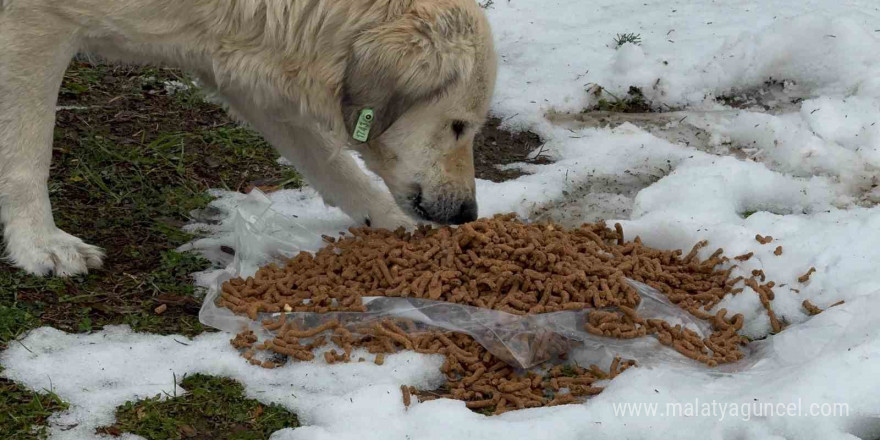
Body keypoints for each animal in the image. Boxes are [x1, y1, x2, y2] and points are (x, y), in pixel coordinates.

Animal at [0, 0, 496, 276]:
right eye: (459, 126)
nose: (467, 215)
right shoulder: (33, 24)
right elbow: (28, 153)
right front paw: (39, 243)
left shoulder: (237, 61)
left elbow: (331, 167)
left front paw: (390, 223)